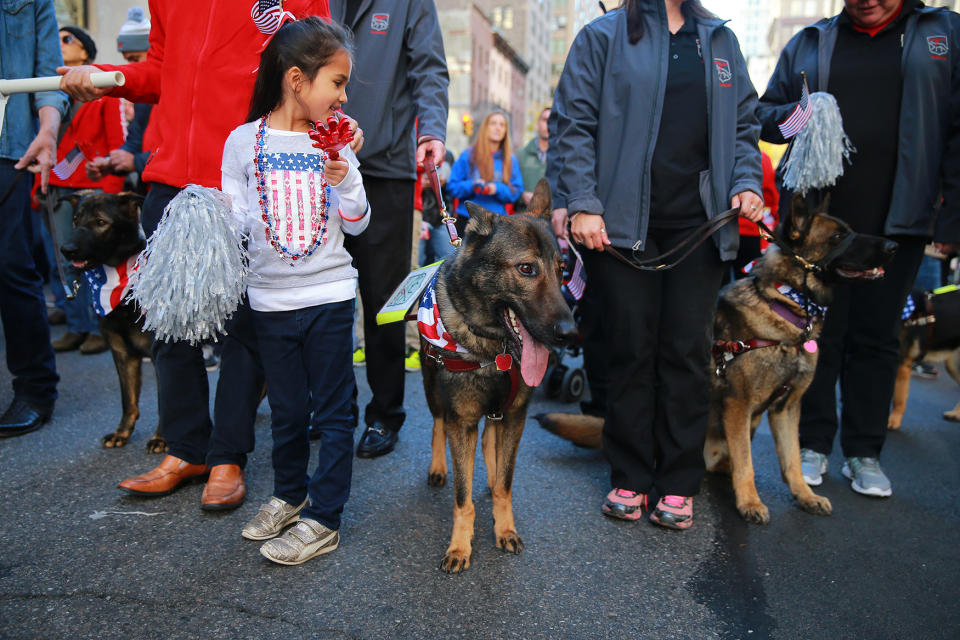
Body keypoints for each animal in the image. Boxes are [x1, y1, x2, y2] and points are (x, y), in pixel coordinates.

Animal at [60, 192, 166, 452]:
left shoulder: (158, 355)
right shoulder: (122, 353)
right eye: (76, 220)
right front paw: (122, 433)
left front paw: (161, 438)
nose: (67, 249)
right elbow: (128, 399)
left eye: (100, 222)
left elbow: (165, 402)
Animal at [422, 180, 572, 576]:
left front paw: (504, 528)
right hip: (432, 391)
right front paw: (460, 546)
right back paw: (438, 467)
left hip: (499, 412)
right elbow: (462, 497)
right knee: (437, 423)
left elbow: (506, 482)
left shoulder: (516, 416)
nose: (570, 333)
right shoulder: (462, 422)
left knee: (491, 440)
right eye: (526, 268)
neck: (496, 350)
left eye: (563, 271)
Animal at [536, 196, 896, 524]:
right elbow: (748, 464)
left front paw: (805, 495)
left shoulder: (787, 408)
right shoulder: (739, 404)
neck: (784, 307)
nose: (893, 246)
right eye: (837, 237)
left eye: (850, 231)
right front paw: (750, 502)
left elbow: (792, 459)